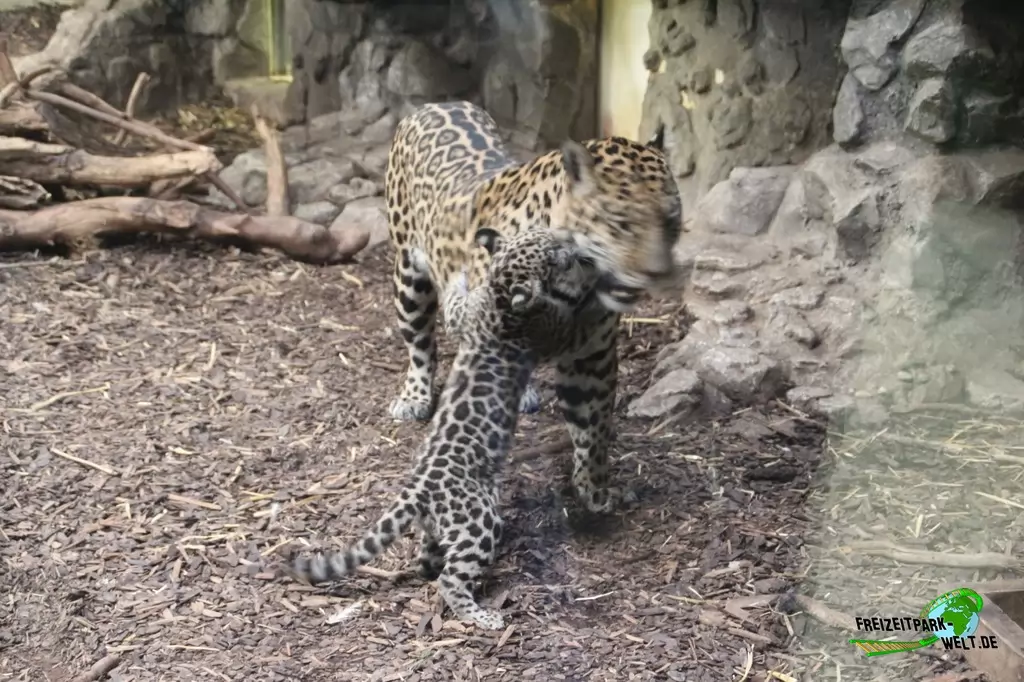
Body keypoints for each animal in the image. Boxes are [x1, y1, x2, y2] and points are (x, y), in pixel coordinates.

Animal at [290, 227, 597, 631]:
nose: (567, 239)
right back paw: (482, 616)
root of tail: (418, 489)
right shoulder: (545, 328)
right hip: (478, 521)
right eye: (549, 249)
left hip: (438, 525)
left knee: (429, 560)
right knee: (451, 579)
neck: (499, 296)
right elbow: (564, 321)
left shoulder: (466, 314)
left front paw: (459, 276)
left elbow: (453, 307)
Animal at [384, 100, 683, 514]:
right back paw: (414, 396)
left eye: (671, 221)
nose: (655, 273)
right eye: (621, 223)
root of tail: (436, 104)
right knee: (419, 343)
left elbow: (594, 427)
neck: (578, 281)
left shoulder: (592, 356)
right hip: (409, 276)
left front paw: (595, 489)